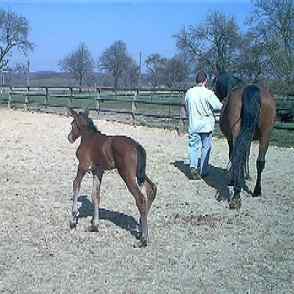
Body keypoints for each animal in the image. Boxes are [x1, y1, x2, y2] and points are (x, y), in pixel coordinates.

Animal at [66, 107, 156, 247]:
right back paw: (141, 227)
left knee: (141, 198)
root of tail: (137, 146)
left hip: (127, 174)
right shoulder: (97, 171)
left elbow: (76, 185)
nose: (69, 138)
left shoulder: (83, 167)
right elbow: (95, 195)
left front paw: (73, 220)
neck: (88, 138)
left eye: (72, 124)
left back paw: (143, 240)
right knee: (152, 189)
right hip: (139, 173)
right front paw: (94, 226)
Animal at [214, 72, 276, 209]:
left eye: (215, 81)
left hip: (240, 135)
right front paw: (246, 176)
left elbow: (235, 156)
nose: (215, 94)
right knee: (260, 162)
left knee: (238, 158)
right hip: (265, 135)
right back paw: (257, 191)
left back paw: (236, 195)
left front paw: (236, 179)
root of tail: (252, 88)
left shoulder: (231, 139)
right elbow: (246, 156)